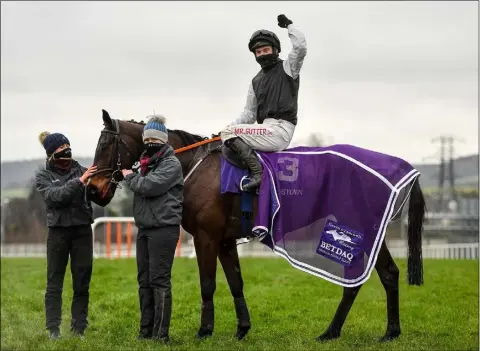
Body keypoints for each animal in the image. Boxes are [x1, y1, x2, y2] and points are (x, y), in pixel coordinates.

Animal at [88, 108, 426, 342]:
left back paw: (338, 331)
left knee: (362, 279)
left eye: (104, 144)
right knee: (387, 273)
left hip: (359, 231)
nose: (93, 189)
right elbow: (236, 283)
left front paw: (204, 330)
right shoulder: (224, 240)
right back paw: (380, 331)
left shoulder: (206, 237)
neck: (194, 165)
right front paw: (242, 328)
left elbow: (208, 284)